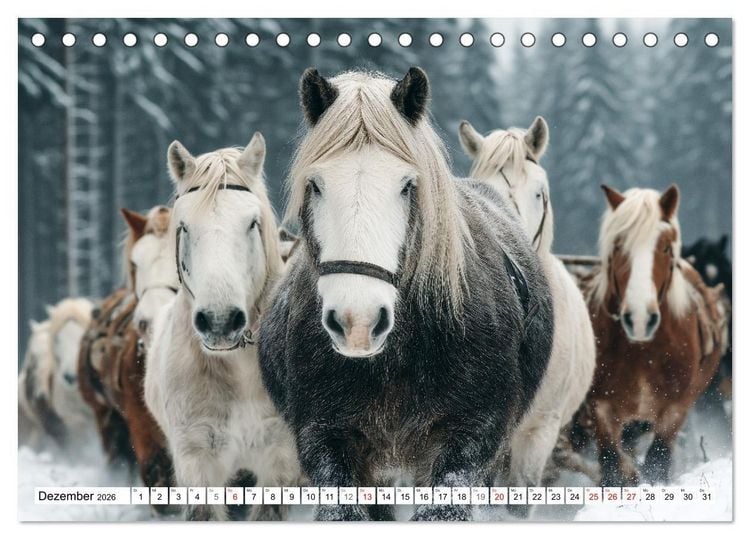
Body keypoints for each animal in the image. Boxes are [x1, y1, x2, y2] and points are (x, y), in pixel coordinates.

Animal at [583, 184, 726, 486]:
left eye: (665, 247)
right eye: (618, 245)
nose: (639, 320)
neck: (641, 351)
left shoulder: (675, 409)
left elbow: (657, 463)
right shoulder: (601, 408)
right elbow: (611, 466)